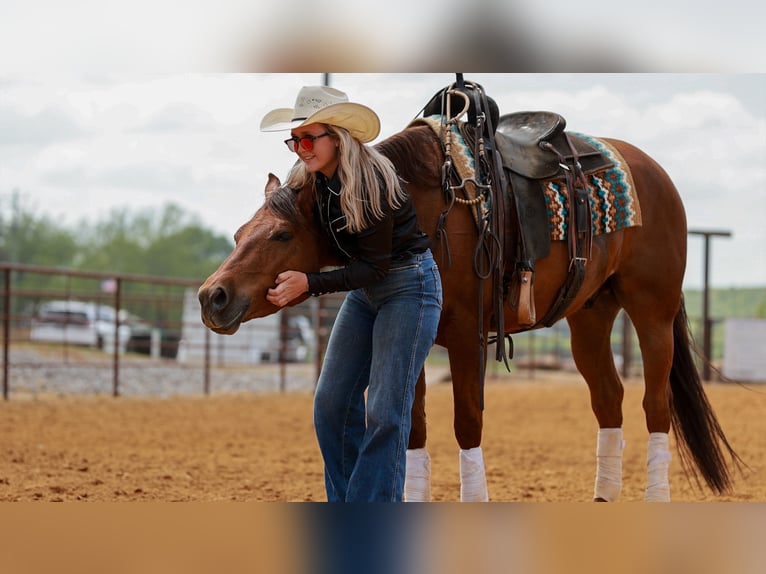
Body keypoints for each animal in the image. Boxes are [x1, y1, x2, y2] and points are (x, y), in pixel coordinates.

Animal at [197, 114, 743, 502]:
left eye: (282, 235)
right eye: (239, 234)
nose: (211, 296)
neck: (428, 204)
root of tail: (653, 173)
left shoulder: (465, 338)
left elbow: (466, 424)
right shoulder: (416, 339)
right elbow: (413, 429)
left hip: (653, 314)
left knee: (656, 406)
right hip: (589, 315)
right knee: (609, 399)